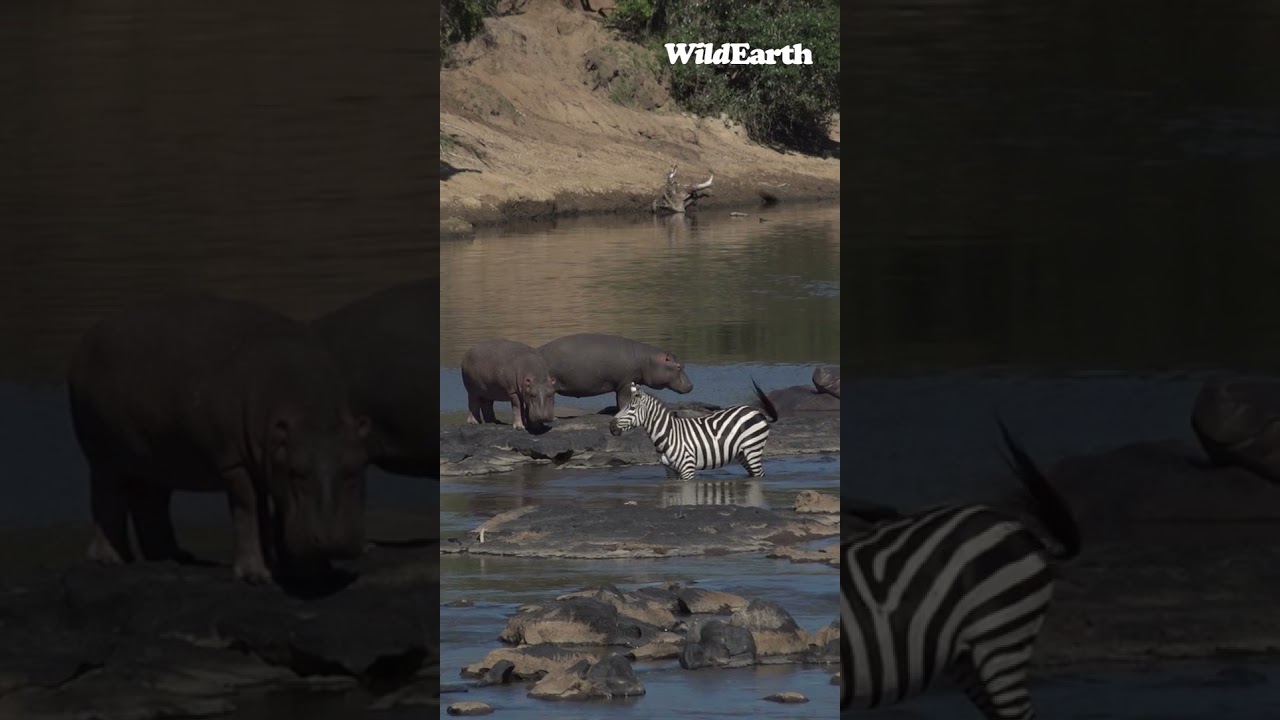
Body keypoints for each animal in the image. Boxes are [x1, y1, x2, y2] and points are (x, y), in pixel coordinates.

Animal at [608, 380, 778, 481]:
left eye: (631, 408)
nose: (611, 427)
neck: (668, 435)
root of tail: (757, 411)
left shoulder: (687, 468)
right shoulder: (670, 471)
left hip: (753, 449)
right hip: (742, 453)